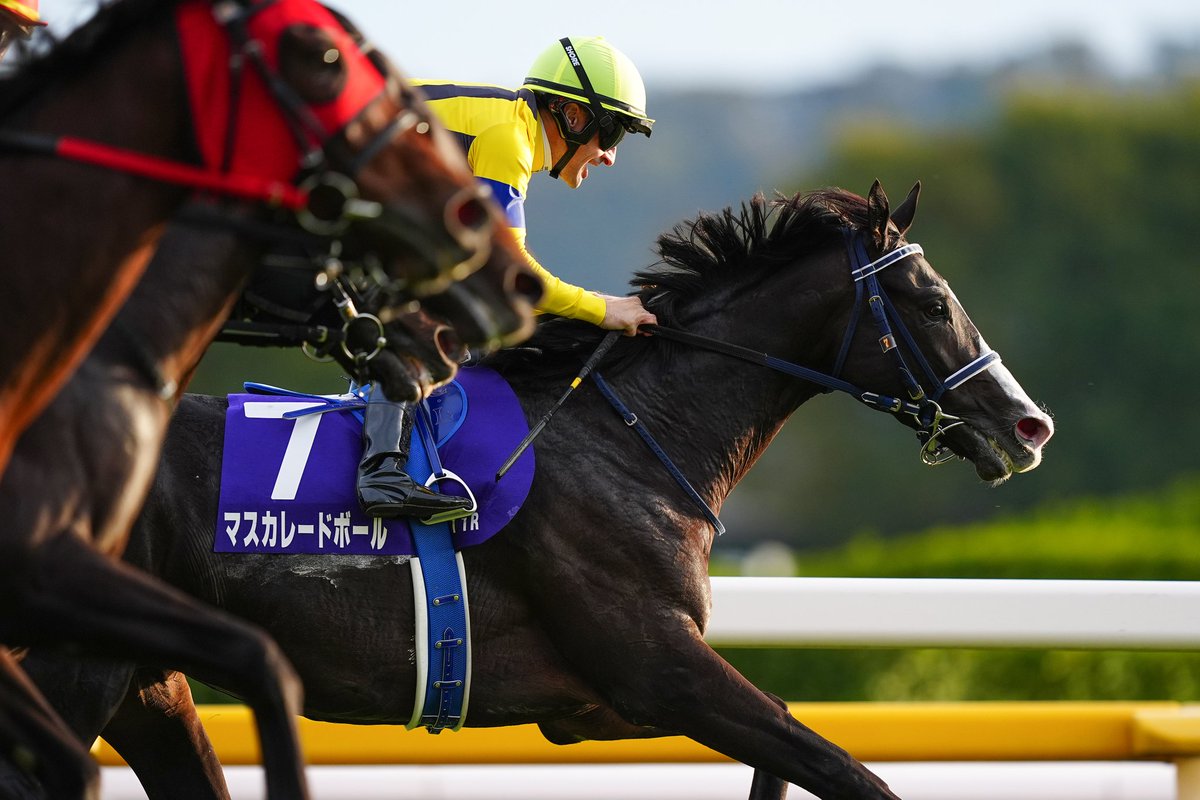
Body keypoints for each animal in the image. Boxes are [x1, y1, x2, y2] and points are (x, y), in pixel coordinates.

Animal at [15, 181, 1053, 799]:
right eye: (931, 302)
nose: (1028, 425)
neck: (636, 444)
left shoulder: (598, 706)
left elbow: (794, 749)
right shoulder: (660, 670)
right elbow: (847, 768)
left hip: (150, 682)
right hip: (84, 664)